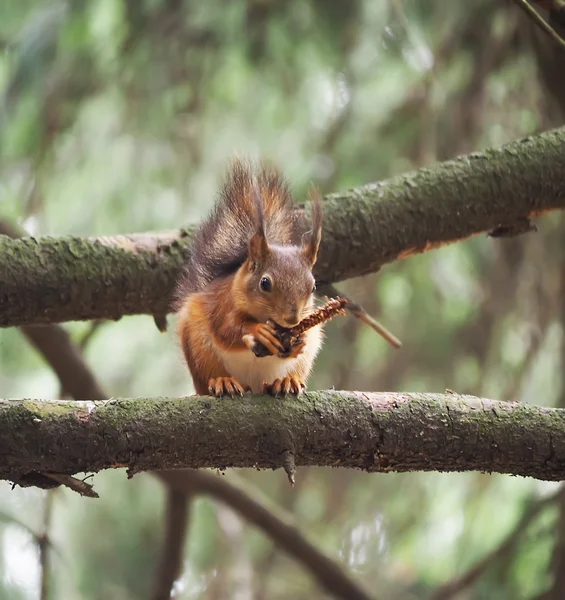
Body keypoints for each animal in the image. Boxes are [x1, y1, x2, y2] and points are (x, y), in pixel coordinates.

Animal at [176, 157, 326, 396]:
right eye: (265, 283)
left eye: (313, 287)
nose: (292, 319)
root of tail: (254, 386)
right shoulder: (222, 305)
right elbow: (227, 329)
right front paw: (258, 331)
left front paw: (299, 340)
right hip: (198, 348)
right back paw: (223, 381)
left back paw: (287, 380)